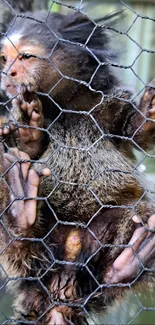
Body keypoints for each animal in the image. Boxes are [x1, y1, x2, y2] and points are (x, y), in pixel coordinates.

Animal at [0, 10, 155, 324]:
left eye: (24, 56)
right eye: (3, 58)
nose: (8, 73)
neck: (69, 104)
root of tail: (61, 284)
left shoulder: (107, 105)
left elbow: (135, 131)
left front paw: (149, 112)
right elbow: (29, 150)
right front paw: (28, 134)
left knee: (132, 221)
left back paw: (128, 264)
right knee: (23, 254)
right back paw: (20, 214)